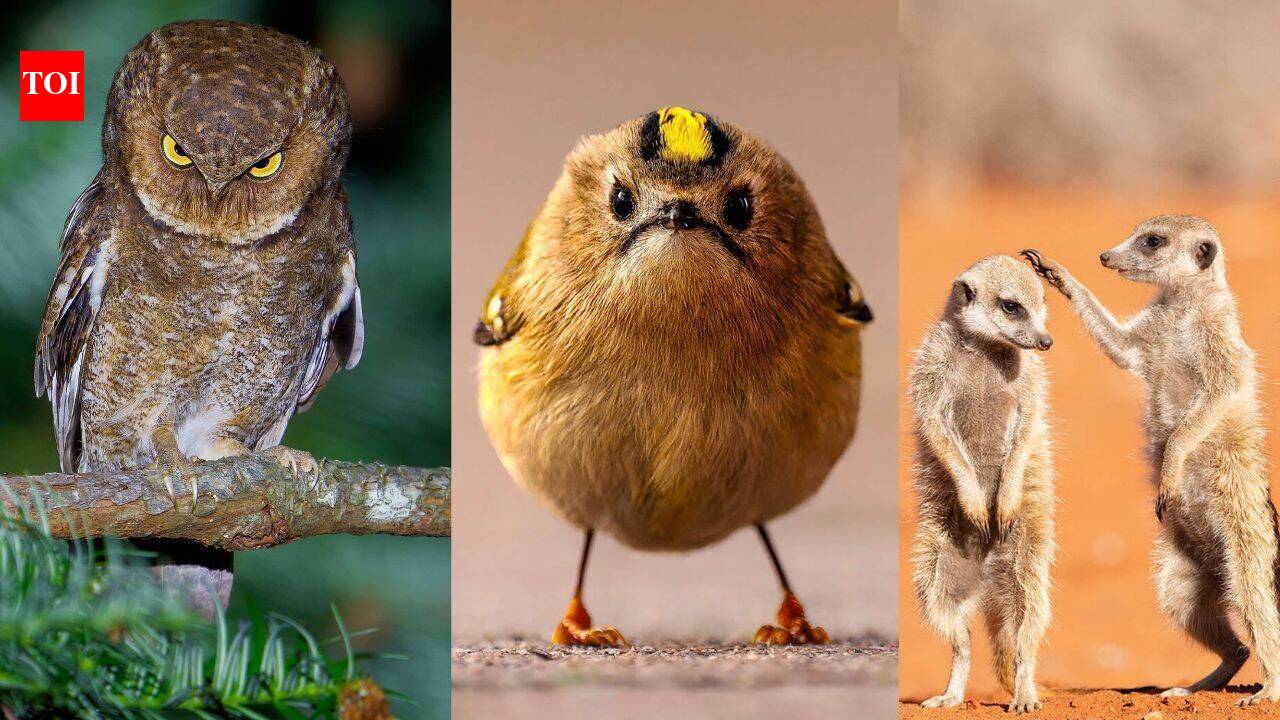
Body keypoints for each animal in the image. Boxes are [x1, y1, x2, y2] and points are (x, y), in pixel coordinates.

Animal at [911, 255, 1056, 714]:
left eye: (1043, 301)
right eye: (1012, 306)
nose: (1046, 341)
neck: (983, 353)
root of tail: (987, 583)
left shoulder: (1030, 380)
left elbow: (1027, 424)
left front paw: (1002, 500)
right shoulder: (929, 367)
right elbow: (933, 424)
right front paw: (975, 501)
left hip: (1027, 552)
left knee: (1027, 621)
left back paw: (1024, 692)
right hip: (936, 558)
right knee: (954, 628)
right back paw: (952, 692)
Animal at [1023, 215, 1277, 705]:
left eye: (1153, 240)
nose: (1105, 256)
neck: (1182, 307)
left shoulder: (1219, 338)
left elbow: (1218, 392)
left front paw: (1171, 464)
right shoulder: (1150, 331)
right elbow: (1121, 347)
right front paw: (1057, 273)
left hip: (1248, 534)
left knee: (1256, 597)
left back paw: (1268, 688)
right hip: (1182, 567)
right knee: (1191, 607)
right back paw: (1199, 683)